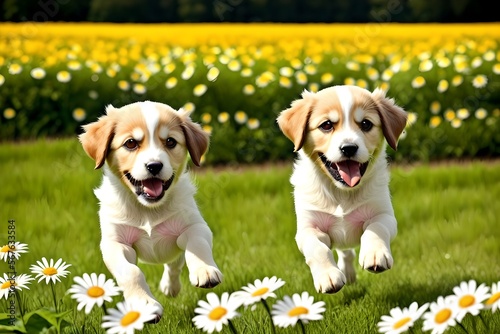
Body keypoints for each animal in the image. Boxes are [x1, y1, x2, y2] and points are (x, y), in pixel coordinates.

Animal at [276, 85, 408, 294]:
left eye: (366, 124)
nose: (349, 148)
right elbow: (317, 248)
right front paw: (328, 275)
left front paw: (375, 254)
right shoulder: (307, 228)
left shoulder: (384, 214)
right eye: (327, 125)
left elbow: (375, 228)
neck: (342, 193)